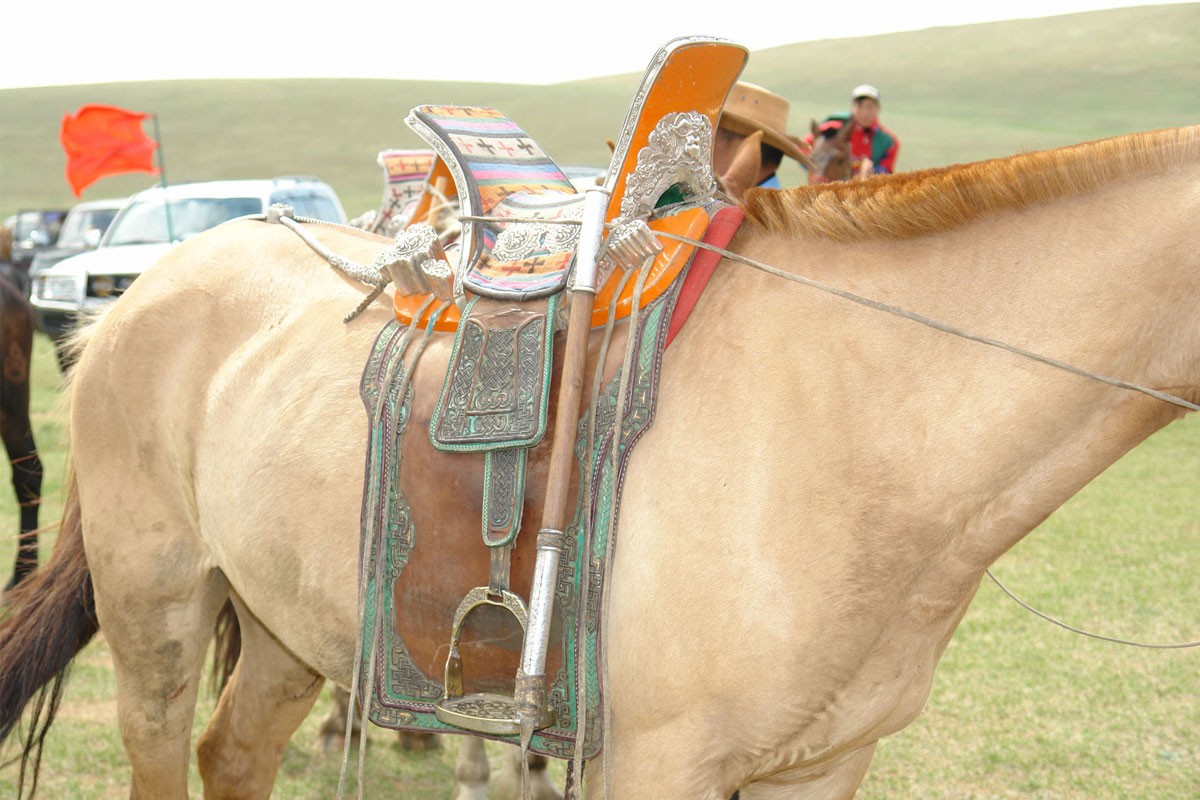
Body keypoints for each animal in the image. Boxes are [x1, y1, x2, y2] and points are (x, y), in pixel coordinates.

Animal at [1, 125, 1197, 799]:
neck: (853, 407)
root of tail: (135, 296)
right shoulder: (661, 762)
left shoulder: (820, 765)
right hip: (157, 609)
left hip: (290, 623)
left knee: (235, 756)